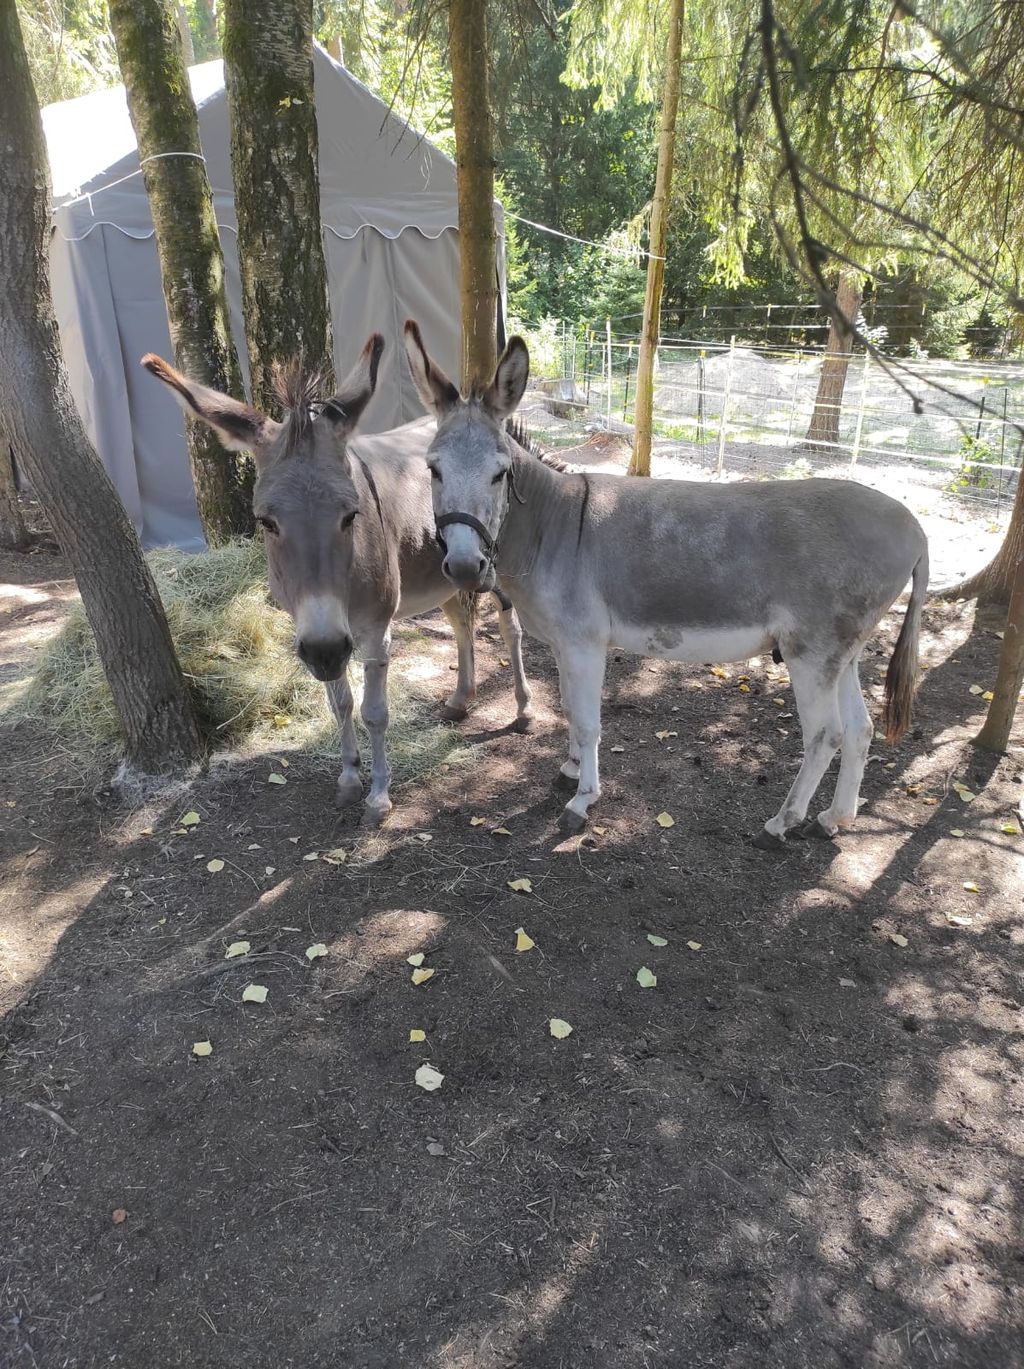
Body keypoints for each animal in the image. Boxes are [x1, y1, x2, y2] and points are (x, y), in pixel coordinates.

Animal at [142, 334, 537, 824]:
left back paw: (523, 708)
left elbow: (374, 712)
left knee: (509, 627)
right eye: (266, 522)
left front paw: (379, 796)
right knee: (462, 623)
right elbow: (340, 704)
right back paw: (461, 699)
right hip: (445, 575)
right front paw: (349, 777)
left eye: (351, 515)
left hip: (491, 569)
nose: (327, 651)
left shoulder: (372, 631)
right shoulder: (319, 632)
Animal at [402, 321, 930, 847]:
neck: (551, 526)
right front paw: (569, 771)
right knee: (861, 729)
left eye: (500, 473)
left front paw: (582, 801)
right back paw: (834, 818)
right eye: (432, 469)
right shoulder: (563, 643)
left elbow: (588, 722)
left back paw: (782, 822)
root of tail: (915, 527)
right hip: (844, 652)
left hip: (812, 653)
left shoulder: (584, 642)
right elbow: (569, 709)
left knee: (825, 735)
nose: (465, 568)